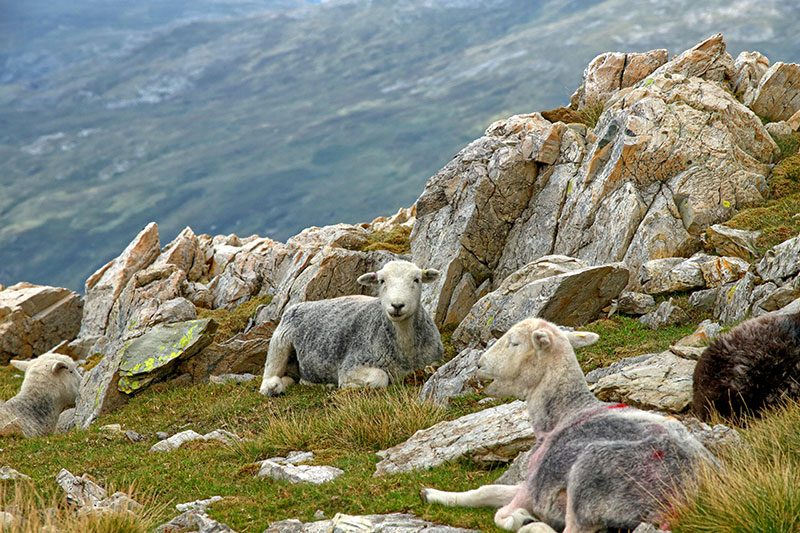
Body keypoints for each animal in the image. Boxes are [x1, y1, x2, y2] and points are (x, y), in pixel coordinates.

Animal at [260, 260, 443, 395]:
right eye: (381, 281)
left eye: (417, 280)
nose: (397, 305)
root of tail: (299, 305)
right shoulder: (351, 365)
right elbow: (380, 377)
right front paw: (349, 386)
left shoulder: (434, 360)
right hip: (280, 342)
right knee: (268, 376)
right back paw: (274, 387)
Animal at [421, 317, 715, 533]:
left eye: (514, 343)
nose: (479, 364)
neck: (564, 413)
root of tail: (692, 494)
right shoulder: (529, 482)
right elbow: (486, 491)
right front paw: (434, 494)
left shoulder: (535, 485)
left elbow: (501, 514)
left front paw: (522, 518)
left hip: (589, 475)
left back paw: (534, 525)